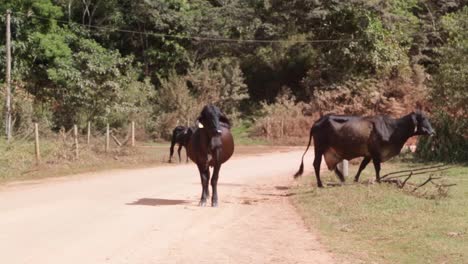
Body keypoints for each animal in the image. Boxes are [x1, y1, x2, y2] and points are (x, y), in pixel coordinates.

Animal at [296, 111, 436, 188]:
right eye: (423, 119)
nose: (432, 132)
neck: (393, 129)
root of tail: (316, 122)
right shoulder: (376, 153)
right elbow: (377, 168)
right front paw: (379, 181)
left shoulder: (368, 154)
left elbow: (361, 167)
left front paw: (356, 180)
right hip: (319, 148)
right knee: (316, 164)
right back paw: (320, 184)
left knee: (331, 166)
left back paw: (341, 178)